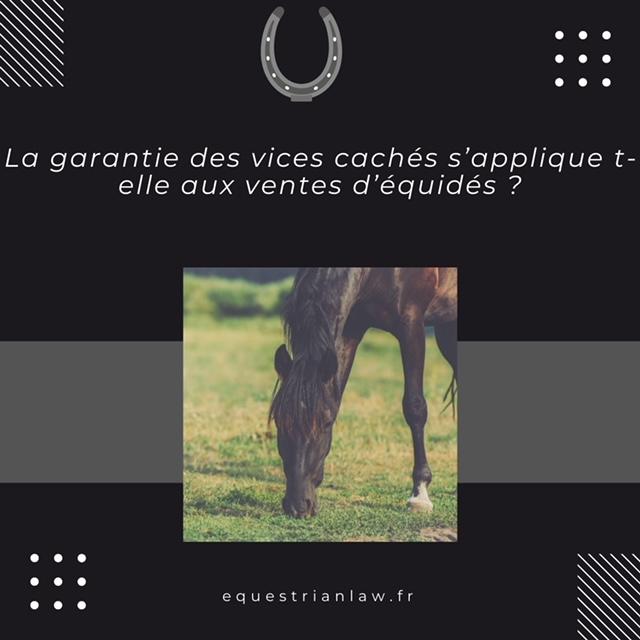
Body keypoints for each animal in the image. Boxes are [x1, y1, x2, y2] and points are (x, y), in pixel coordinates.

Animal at [269, 267, 458, 518]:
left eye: (326, 423)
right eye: (279, 421)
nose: (298, 506)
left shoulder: (412, 325)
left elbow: (415, 407)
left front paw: (420, 493)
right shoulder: (352, 326)